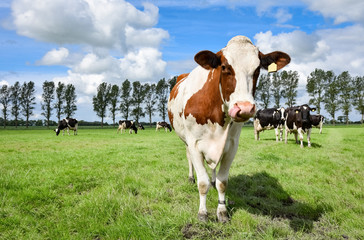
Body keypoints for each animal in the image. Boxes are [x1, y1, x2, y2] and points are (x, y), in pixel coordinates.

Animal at [168, 35, 290, 221]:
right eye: (224, 67)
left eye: (257, 69)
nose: (245, 108)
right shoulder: (194, 143)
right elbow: (202, 182)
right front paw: (202, 212)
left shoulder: (231, 146)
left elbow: (222, 182)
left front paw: (222, 211)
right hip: (186, 140)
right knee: (189, 158)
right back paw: (190, 177)